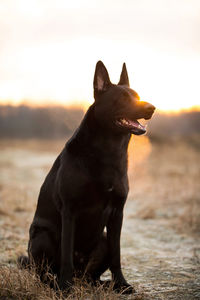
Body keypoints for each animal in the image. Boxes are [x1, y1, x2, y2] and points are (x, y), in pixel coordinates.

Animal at [18, 60, 155, 292]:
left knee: (92, 276)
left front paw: (121, 284)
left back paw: (101, 284)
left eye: (137, 95)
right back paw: (58, 284)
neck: (108, 151)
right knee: (45, 274)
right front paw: (65, 287)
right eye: (122, 98)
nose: (151, 108)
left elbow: (118, 255)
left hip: (103, 240)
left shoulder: (117, 213)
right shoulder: (70, 211)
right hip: (42, 236)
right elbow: (66, 256)